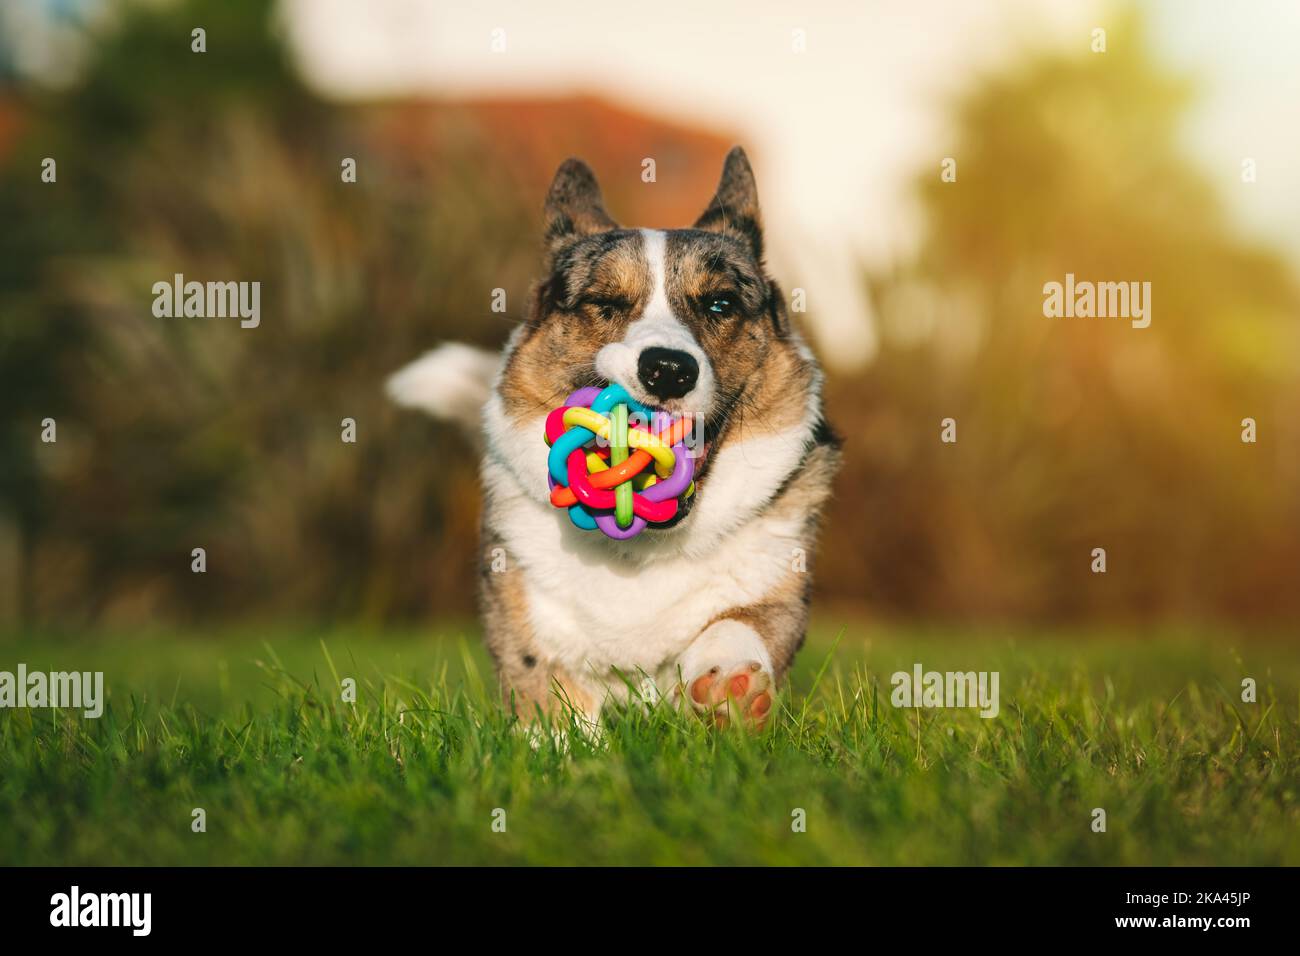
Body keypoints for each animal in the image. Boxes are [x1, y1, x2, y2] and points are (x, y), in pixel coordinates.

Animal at [384, 147, 837, 733]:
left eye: (720, 304)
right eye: (607, 302)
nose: (667, 370)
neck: (640, 548)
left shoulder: (777, 586)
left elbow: (740, 622)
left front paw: (729, 684)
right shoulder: (528, 617)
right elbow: (551, 694)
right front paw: (563, 739)